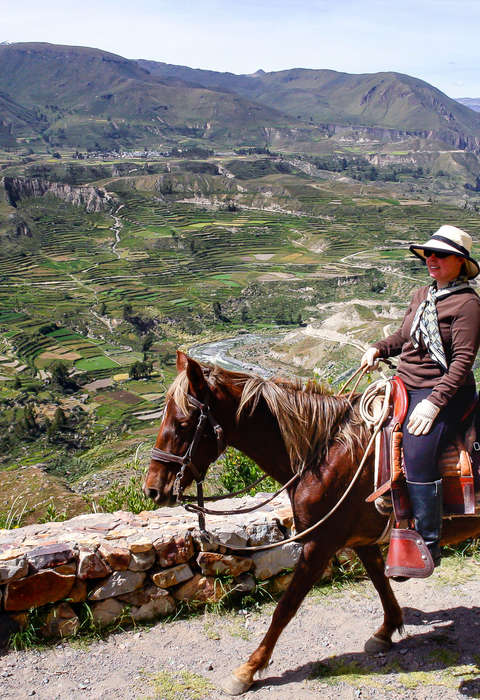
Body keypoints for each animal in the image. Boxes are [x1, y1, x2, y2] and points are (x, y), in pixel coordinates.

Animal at [144, 352, 480, 696]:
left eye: (183, 424)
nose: (152, 489)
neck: (325, 453)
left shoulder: (319, 545)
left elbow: (285, 607)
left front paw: (248, 669)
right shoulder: (359, 539)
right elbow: (379, 580)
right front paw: (387, 630)